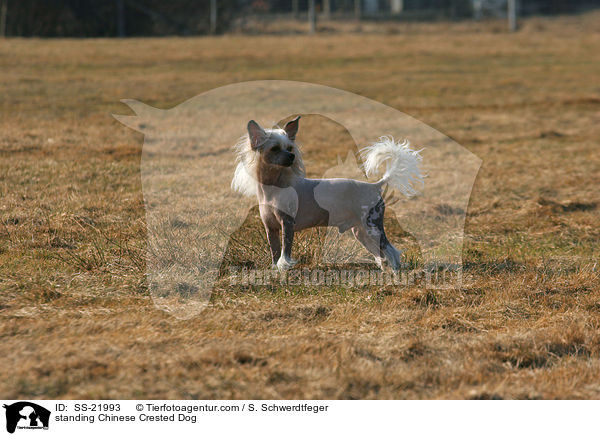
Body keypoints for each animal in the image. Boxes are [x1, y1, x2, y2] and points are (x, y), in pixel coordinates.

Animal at [232, 117, 424, 270]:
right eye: (274, 149)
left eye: (290, 148)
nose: (291, 157)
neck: (274, 188)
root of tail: (374, 186)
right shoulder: (270, 228)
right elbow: (274, 251)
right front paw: (274, 269)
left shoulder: (287, 224)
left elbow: (285, 252)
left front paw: (283, 267)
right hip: (361, 232)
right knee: (381, 253)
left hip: (372, 226)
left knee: (391, 251)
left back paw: (395, 272)